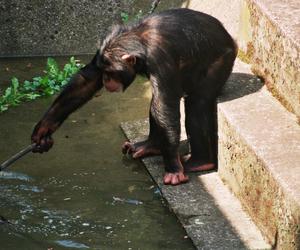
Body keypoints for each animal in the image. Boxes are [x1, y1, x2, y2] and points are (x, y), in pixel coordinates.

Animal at [31, 8, 238, 186]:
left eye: (111, 73)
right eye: (103, 72)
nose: (106, 79)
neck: (139, 42)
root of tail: (228, 36)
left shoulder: (160, 57)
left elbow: (166, 105)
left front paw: (173, 168)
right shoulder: (102, 50)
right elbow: (86, 82)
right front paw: (44, 127)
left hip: (223, 60)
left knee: (196, 103)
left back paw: (199, 161)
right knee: (156, 103)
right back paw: (150, 146)